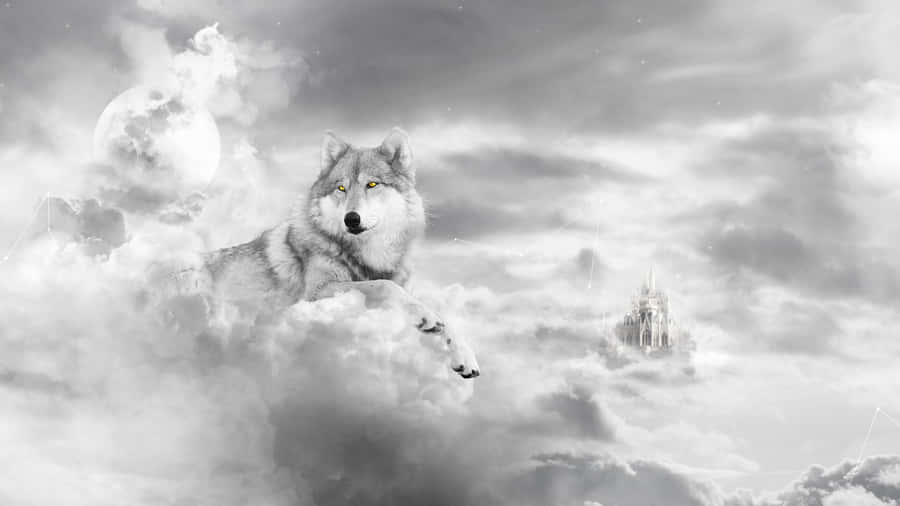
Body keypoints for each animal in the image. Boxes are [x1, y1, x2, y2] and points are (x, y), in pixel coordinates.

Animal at [197, 128, 480, 378]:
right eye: (341, 188)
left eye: (372, 184)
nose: (351, 219)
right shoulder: (316, 292)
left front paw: (464, 357)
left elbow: (443, 320)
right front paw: (424, 316)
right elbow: (383, 285)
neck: (367, 256)